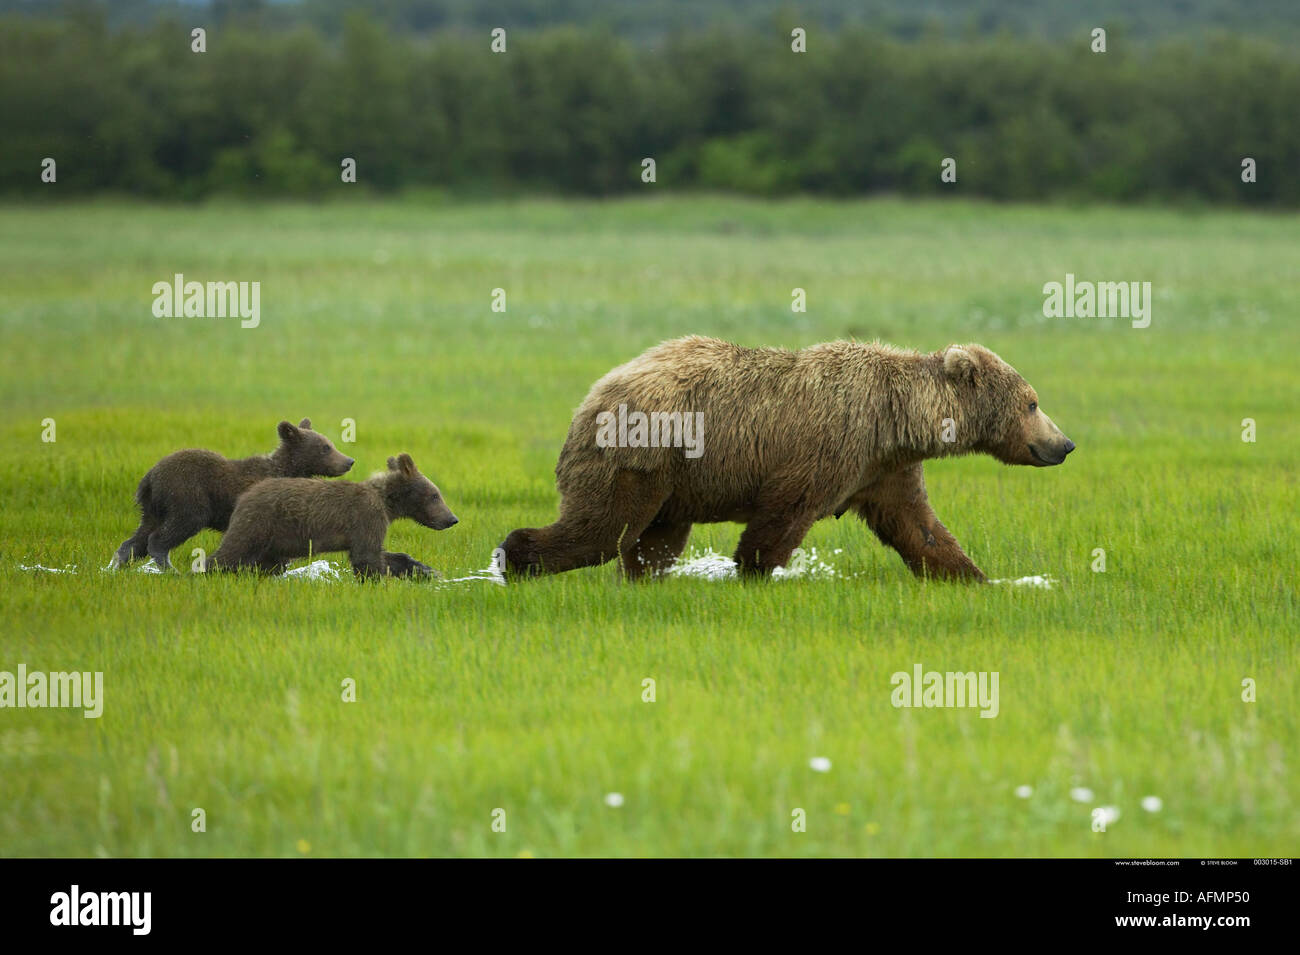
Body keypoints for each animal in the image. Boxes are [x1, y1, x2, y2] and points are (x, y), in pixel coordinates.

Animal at [112, 418, 355, 571]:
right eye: (325, 447)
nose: (349, 461)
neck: (288, 470)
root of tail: (149, 477)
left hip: (153, 507)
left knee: (139, 536)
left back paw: (118, 564)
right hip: (185, 494)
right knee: (176, 526)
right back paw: (169, 567)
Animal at [209, 453, 458, 578]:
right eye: (435, 495)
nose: (452, 519)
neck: (387, 504)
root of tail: (246, 496)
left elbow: (383, 554)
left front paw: (424, 570)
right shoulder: (367, 516)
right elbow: (366, 558)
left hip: (274, 540)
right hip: (259, 523)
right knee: (232, 551)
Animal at [501, 336, 1074, 581]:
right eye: (1032, 402)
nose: (1064, 444)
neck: (898, 421)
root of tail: (592, 394)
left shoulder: (882, 469)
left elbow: (919, 527)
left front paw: (974, 577)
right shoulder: (832, 444)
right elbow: (784, 513)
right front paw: (753, 572)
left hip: (673, 481)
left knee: (652, 541)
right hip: (641, 453)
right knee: (602, 529)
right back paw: (515, 557)